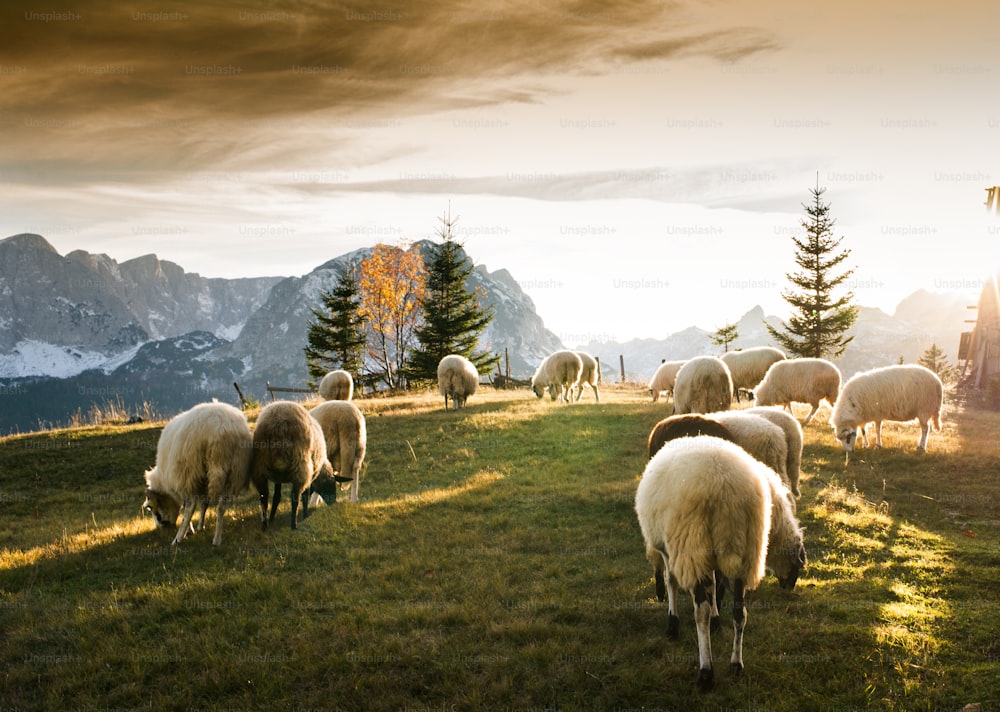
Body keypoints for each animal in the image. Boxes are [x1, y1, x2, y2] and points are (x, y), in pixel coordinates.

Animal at [144, 404, 254, 548]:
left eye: (151, 508)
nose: (160, 527)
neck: (162, 480)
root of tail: (223, 427)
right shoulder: (203, 481)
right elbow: (204, 504)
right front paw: (200, 526)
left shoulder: (182, 480)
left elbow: (187, 507)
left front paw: (188, 531)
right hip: (231, 469)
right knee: (221, 507)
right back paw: (216, 540)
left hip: (190, 469)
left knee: (190, 507)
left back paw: (177, 539)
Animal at [252, 400, 334, 528]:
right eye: (331, 483)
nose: (334, 503)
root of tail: (278, 425)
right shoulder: (309, 475)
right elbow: (305, 496)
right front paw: (305, 516)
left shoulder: (278, 478)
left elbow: (276, 497)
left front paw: (272, 518)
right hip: (301, 467)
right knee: (295, 497)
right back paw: (294, 525)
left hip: (259, 467)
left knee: (263, 497)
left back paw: (265, 525)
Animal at [636, 434, 808, 688]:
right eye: (797, 567)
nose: (789, 587)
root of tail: (725, 486)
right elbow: (715, 587)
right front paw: (717, 621)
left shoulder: (671, 550)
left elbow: (672, 583)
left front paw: (672, 625)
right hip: (744, 554)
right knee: (740, 613)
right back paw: (736, 664)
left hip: (693, 546)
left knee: (701, 613)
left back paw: (706, 671)